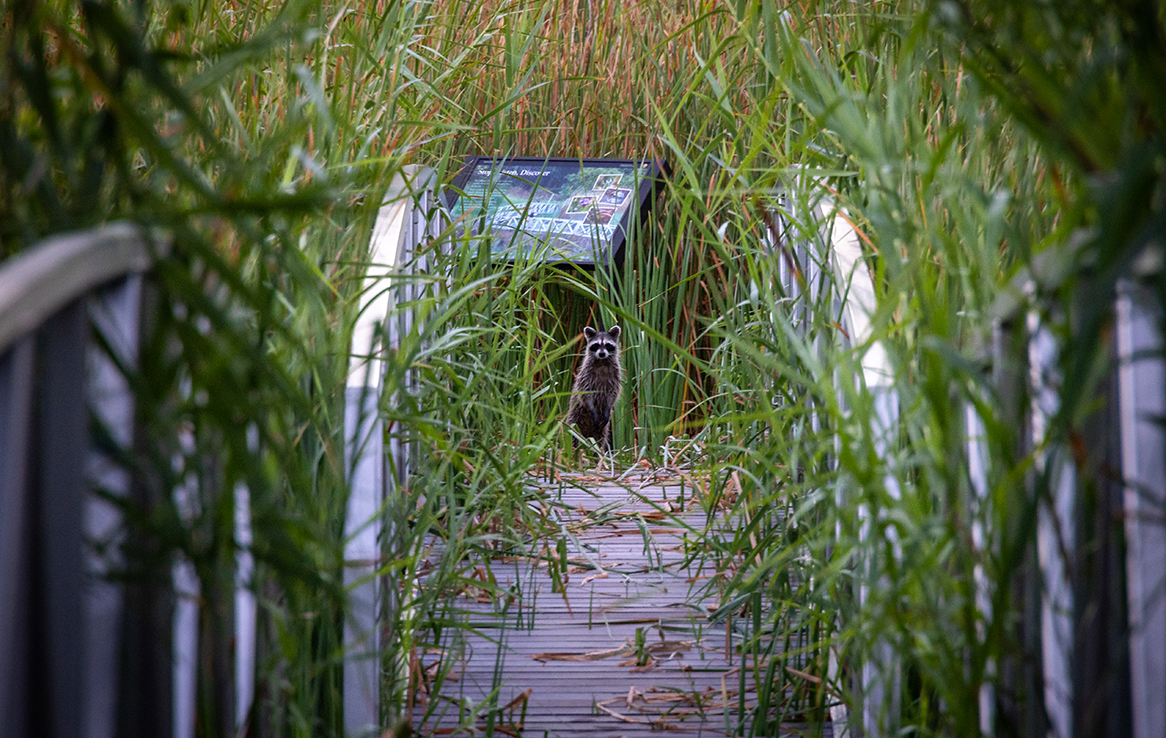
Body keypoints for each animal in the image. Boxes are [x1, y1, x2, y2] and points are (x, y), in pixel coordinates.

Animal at [569, 324, 624, 466]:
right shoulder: (586, 376)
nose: (602, 353)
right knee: (572, 436)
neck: (602, 361)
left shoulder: (615, 375)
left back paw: (596, 458)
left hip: (602, 428)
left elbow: (612, 394)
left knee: (600, 440)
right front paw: (593, 409)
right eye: (596, 345)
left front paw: (608, 407)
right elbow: (586, 394)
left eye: (608, 345)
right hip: (575, 418)